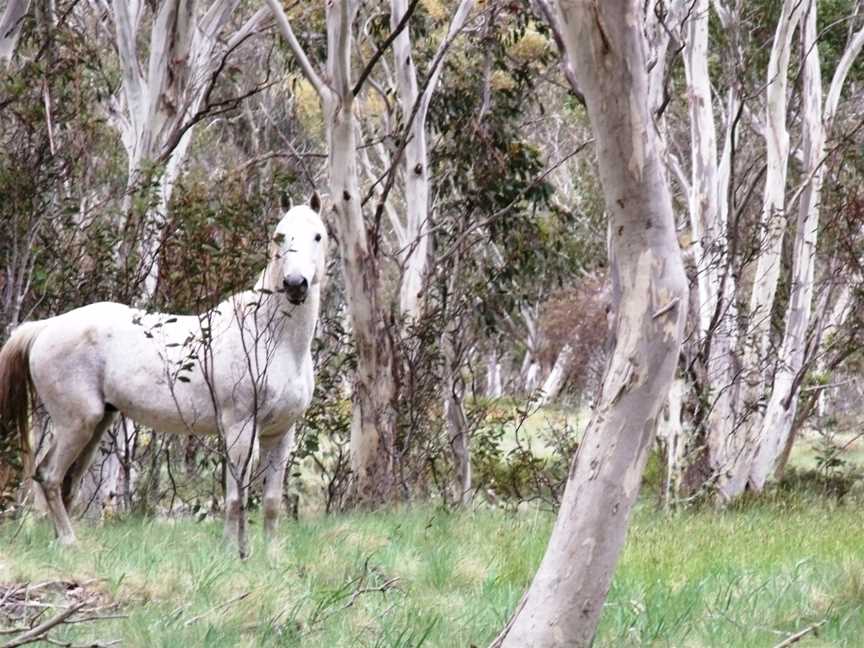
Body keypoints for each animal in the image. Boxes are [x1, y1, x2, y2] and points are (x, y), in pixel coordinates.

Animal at [0, 199, 324, 552]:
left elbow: (272, 501)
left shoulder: (281, 433)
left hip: (97, 423)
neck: (269, 336)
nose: (295, 284)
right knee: (49, 476)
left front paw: (271, 555)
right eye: (280, 236)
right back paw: (70, 542)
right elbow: (235, 497)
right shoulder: (239, 428)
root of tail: (45, 327)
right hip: (77, 423)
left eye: (318, 236)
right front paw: (231, 552)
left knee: (67, 482)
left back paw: (63, 542)